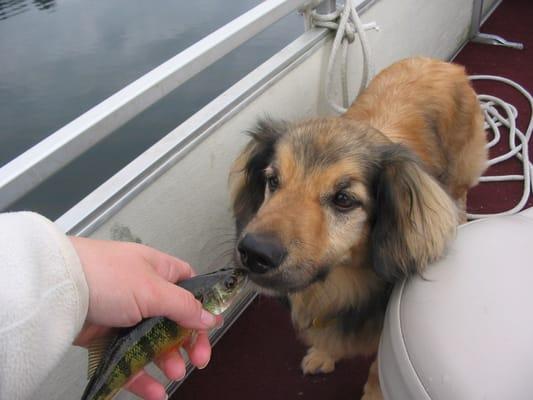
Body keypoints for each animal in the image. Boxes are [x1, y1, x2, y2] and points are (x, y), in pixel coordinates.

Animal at [229, 57, 486, 400]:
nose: (254, 253)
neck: (342, 284)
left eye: (343, 199)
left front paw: (376, 393)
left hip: (461, 169)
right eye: (273, 180)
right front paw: (323, 354)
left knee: (461, 193)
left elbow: (378, 367)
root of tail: (443, 64)